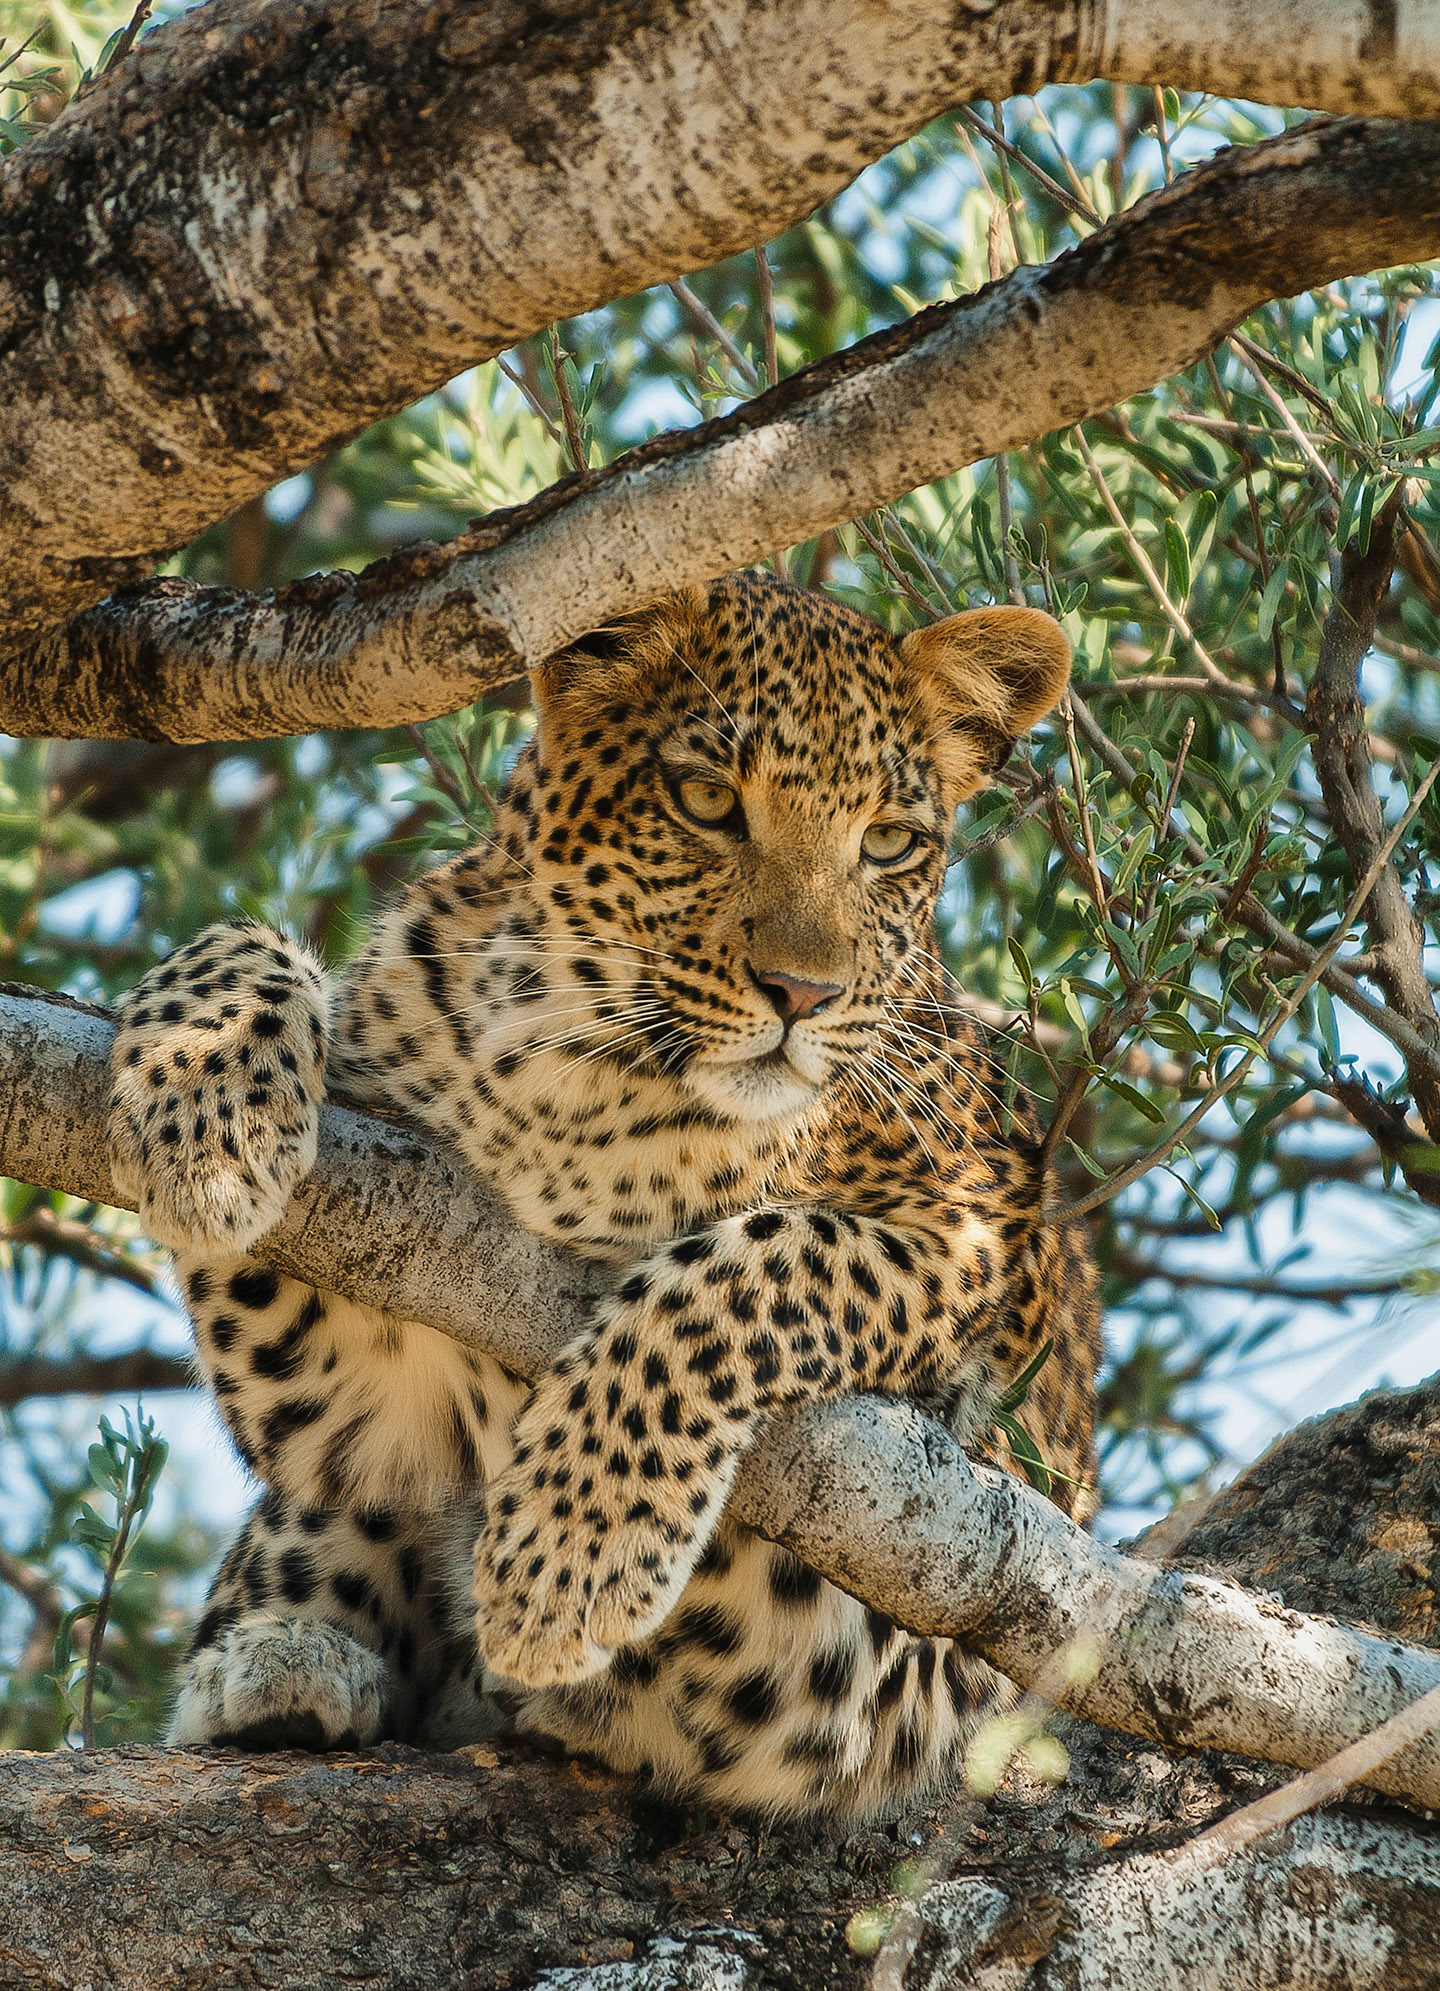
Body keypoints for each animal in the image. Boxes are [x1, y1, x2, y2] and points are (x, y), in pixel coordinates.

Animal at [107, 570, 1100, 1822]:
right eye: (706, 799)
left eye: (889, 842)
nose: (802, 992)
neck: (571, 1069)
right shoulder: (345, 1389)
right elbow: (248, 938)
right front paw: (206, 1127)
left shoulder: (976, 1252)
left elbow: (748, 1267)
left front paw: (565, 1561)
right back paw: (282, 1665)